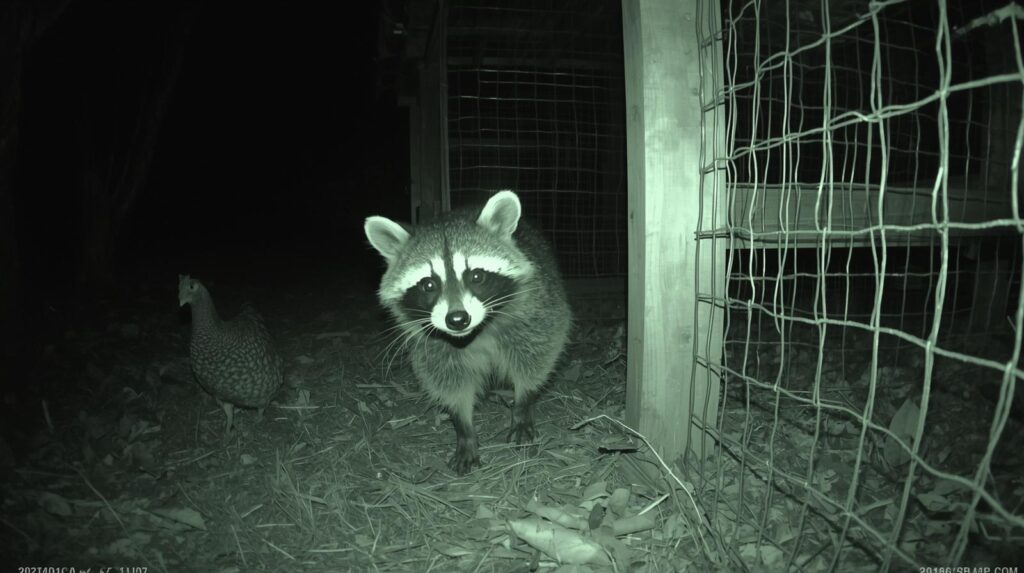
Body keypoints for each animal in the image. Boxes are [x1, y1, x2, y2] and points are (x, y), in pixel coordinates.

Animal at [364, 190, 572, 474]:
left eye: (476, 276)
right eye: (428, 284)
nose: (457, 319)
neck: (472, 334)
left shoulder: (535, 309)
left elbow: (536, 356)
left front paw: (523, 404)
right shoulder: (432, 344)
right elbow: (449, 381)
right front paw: (463, 427)